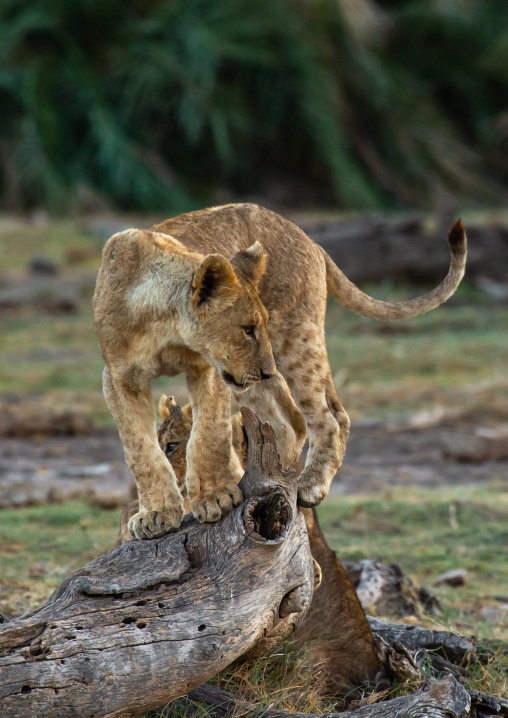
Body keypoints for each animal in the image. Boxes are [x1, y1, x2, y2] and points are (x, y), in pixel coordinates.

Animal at [94, 203, 466, 539]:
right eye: (247, 329)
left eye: (258, 325)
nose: (267, 370)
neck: (162, 325)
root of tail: (308, 237)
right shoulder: (118, 378)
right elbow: (139, 450)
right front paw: (156, 515)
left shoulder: (209, 368)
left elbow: (209, 434)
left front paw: (214, 498)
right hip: (255, 379)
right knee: (291, 421)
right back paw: (268, 479)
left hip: (295, 339)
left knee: (330, 416)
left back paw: (308, 484)